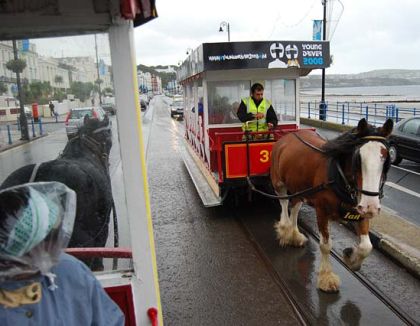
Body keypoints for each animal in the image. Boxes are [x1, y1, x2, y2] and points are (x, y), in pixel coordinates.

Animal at [270, 118, 392, 292]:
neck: (339, 177)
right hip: (279, 183)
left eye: (386, 159)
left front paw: (351, 258)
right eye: (358, 159)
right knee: (284, 203)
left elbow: (367, 246)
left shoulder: (360, 211)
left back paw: (294, 235)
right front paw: (326, 278)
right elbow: (326, 245)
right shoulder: (321, 211)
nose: (371, 206)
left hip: (300, 188)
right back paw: (286, 230)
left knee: (295, 207)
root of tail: (288, 135)